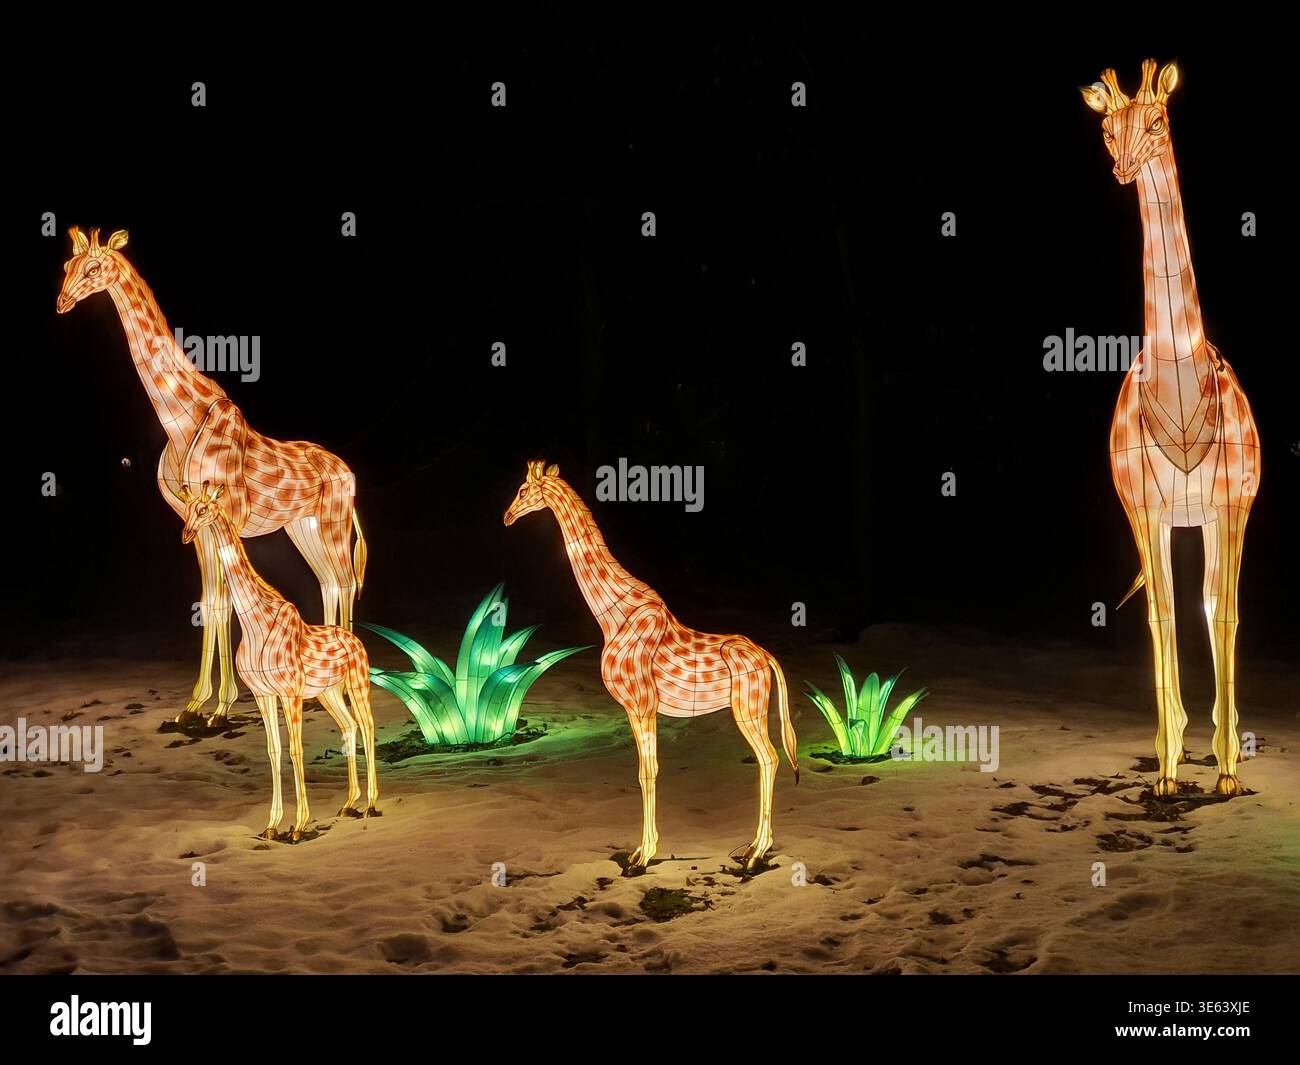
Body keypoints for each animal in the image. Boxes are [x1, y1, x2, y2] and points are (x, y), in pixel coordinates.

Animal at [56, 227, 368, 727]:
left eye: (93, 267)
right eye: (67, 266)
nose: (62, 301)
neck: (181, 420)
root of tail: (350, 473)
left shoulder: (222, 515)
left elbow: (224, 603)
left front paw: (220, 707)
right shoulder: (193, 524)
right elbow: (212, 604)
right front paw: (195, 705)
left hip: (333, 523)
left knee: (346, 580)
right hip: (304, 527)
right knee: (330, 581)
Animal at [179, 481, 380, 839]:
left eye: (204, 509)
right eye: (186, 508)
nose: (186, 534)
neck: (254, 620)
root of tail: (357, 642)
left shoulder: (291, 692)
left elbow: (295, 749)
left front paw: (299, 825)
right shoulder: (263, 693)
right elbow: (273, 750)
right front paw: (272, 825)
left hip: (357, 683)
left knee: (368, 725)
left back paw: (370, 804)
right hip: (328, 692)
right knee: (350, 725)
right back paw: (348, 804)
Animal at [503, 461, 798, 871]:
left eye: (522, 490)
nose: (506, 517)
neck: (613, 615)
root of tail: (768, 657)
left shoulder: (641, 703)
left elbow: (647, 771)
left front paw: (641, 857)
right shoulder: (637, 708)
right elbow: (646, 770)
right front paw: (642, 850)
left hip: (748, 708)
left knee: (769, 758)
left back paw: (756, 853)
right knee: (766, 760)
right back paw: (750, 847)